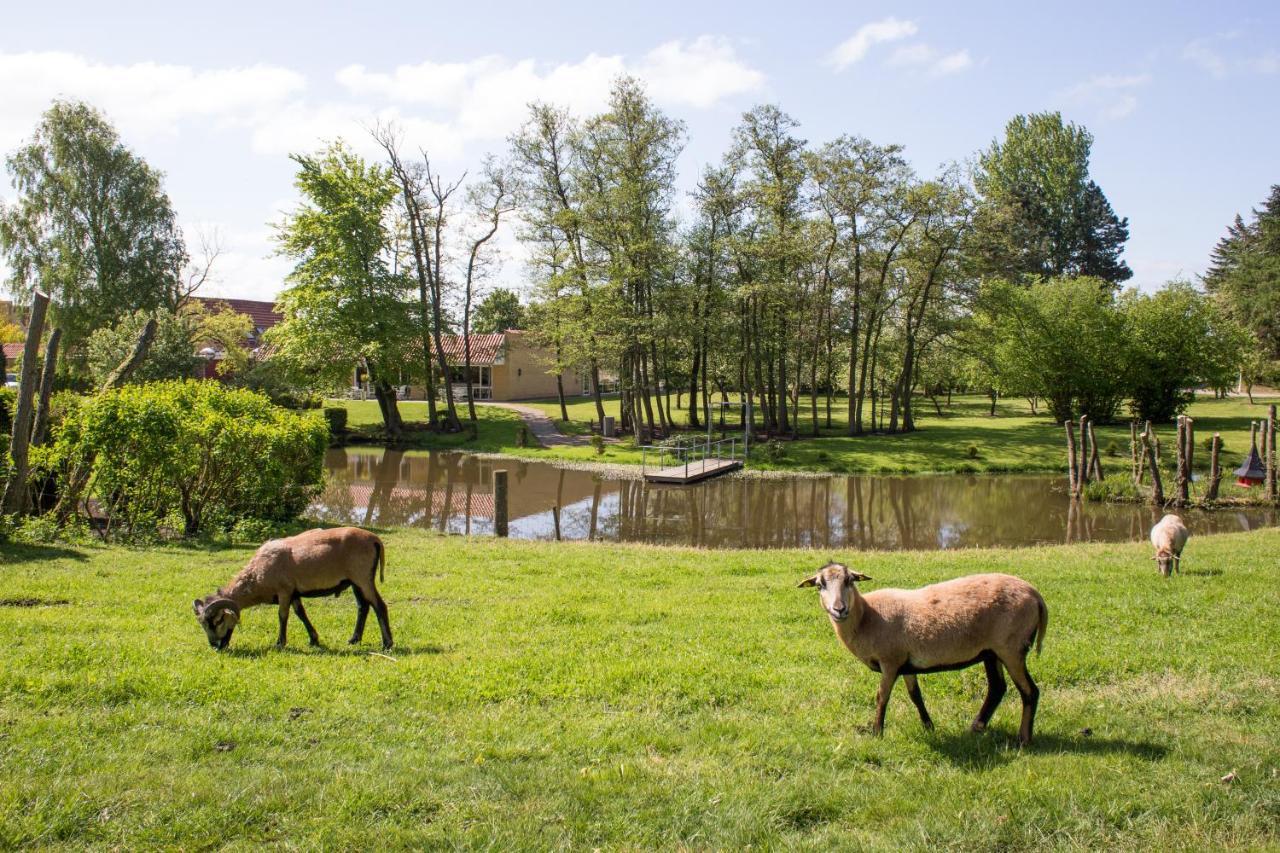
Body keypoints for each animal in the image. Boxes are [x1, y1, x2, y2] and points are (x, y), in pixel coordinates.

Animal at [193, 522, 389, 648]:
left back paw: (387, 644)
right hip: (354, 581)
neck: (257, 575)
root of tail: (375, 540)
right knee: (363, 607)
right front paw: (314, 640)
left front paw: (280, 643)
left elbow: (283, 615)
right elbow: (301, 614)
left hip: (363, 577)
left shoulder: (284, 591)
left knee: (379, 605)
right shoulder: (294, 593)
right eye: (202, 624)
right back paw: (354, 640)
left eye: (218, 620)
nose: (215, 646)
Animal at [798, 563, 1049, 742]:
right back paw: (976, 727)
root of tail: (1036, 595)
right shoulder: (905, 663)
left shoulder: (890, 661)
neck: (867, 617)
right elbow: (915, 695)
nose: (839, 609)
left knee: (1029, 691)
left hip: (1011, 648)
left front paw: (877, 732)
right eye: (819, 585)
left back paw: (1023, 740)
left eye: (850, 581)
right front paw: (929, 726)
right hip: (992, 651)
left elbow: (881, 696)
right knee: (997, 687)